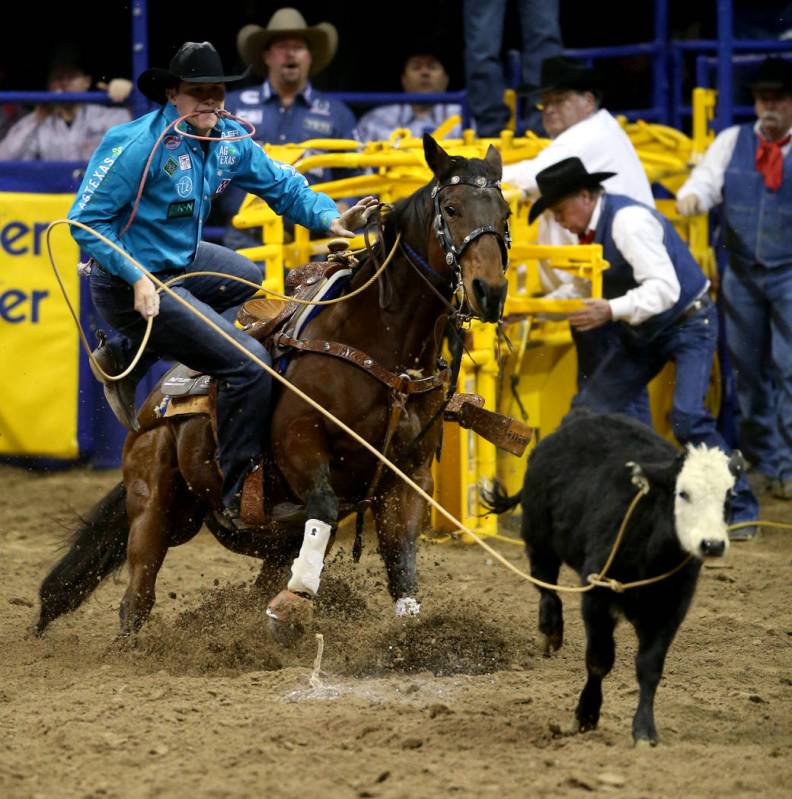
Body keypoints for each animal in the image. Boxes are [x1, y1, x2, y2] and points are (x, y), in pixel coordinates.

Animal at [35, 133, 508, 644]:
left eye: (504, 214)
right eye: (453, 208)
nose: (489, 291)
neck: (380, 348)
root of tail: (151, 404)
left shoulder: (410, 473)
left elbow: (401, 557)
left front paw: (413, 634)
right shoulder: (299, 442)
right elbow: (323, 506)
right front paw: (295, 600)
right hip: (156, 505)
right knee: (136, 597)